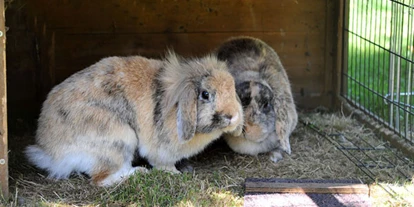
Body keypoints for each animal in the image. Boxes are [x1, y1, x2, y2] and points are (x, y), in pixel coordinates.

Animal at [25, 50, 243, 186]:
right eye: (205, 94)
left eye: (232, 88)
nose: (232, 116)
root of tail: (51, 152)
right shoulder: (160, 150)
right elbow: (162, 163)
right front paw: (174, 173)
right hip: (119, 140)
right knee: (101, 179)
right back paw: (137, 173)